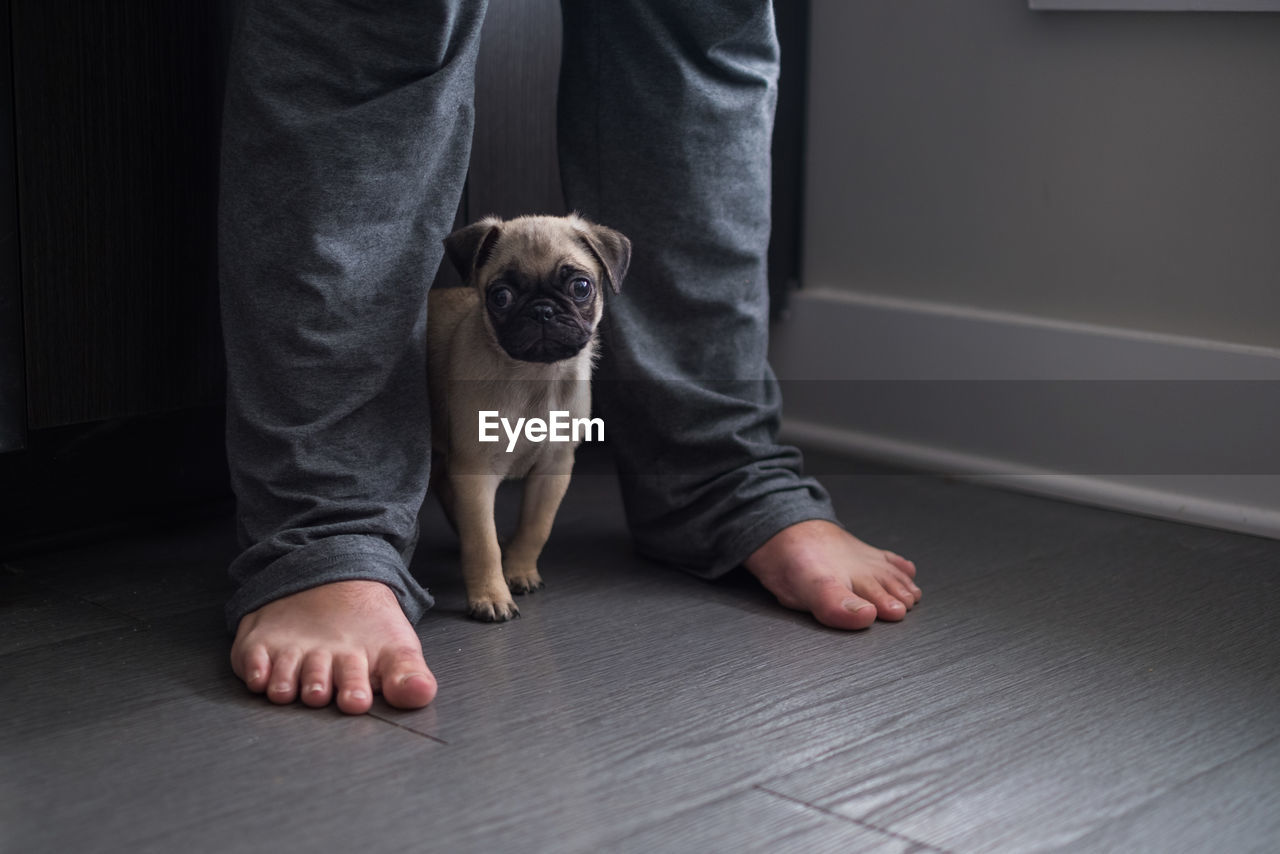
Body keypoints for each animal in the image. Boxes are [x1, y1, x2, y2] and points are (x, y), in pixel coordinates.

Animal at [430, 213, 629, 622]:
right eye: (501, 296)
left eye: (581, 287)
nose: (542, 310)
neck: (536, 378)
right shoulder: (475, 471)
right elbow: (482, 543)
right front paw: (490, 596)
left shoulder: (554, 469)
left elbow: (537, 527)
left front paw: (519, 571)